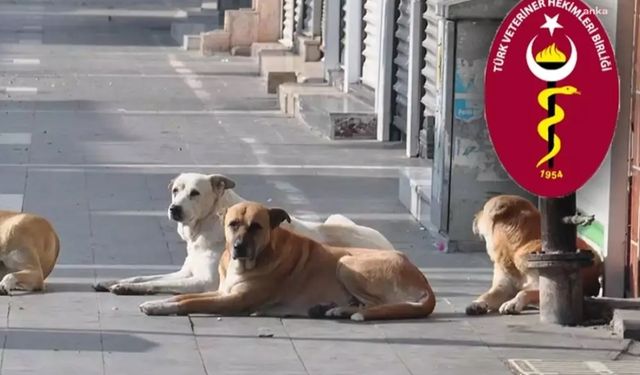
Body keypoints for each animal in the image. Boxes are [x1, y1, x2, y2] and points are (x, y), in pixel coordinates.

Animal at [95, 173, 396, 296]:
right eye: (175, 190)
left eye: (195, 193)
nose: (174, 209)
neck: (206, 227)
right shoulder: (185, 272)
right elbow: (144, 276)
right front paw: (113, 281)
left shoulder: (204, 282)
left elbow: (156, 284)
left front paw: (125, 288)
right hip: (336, 217)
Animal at [139, 201, 436, 322]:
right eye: (233, 224)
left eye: (256, 226)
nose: (238, 247)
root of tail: (424, 282)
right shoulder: (222, 291)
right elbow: (181, 297)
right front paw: (158, 302)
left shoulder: (232, 300)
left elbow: (189, 302)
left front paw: (157, 307)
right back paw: (333, 309)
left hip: (347, 264)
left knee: (378, 305)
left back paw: (342, 310)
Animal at [464, 195, 600, 316]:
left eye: (484, 209)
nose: (474, 216)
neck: (516, 248)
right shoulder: (502, 288)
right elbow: (487, 294)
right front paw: (477, 303)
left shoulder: (542, 286)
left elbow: (524, 292)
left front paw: (513, 303)